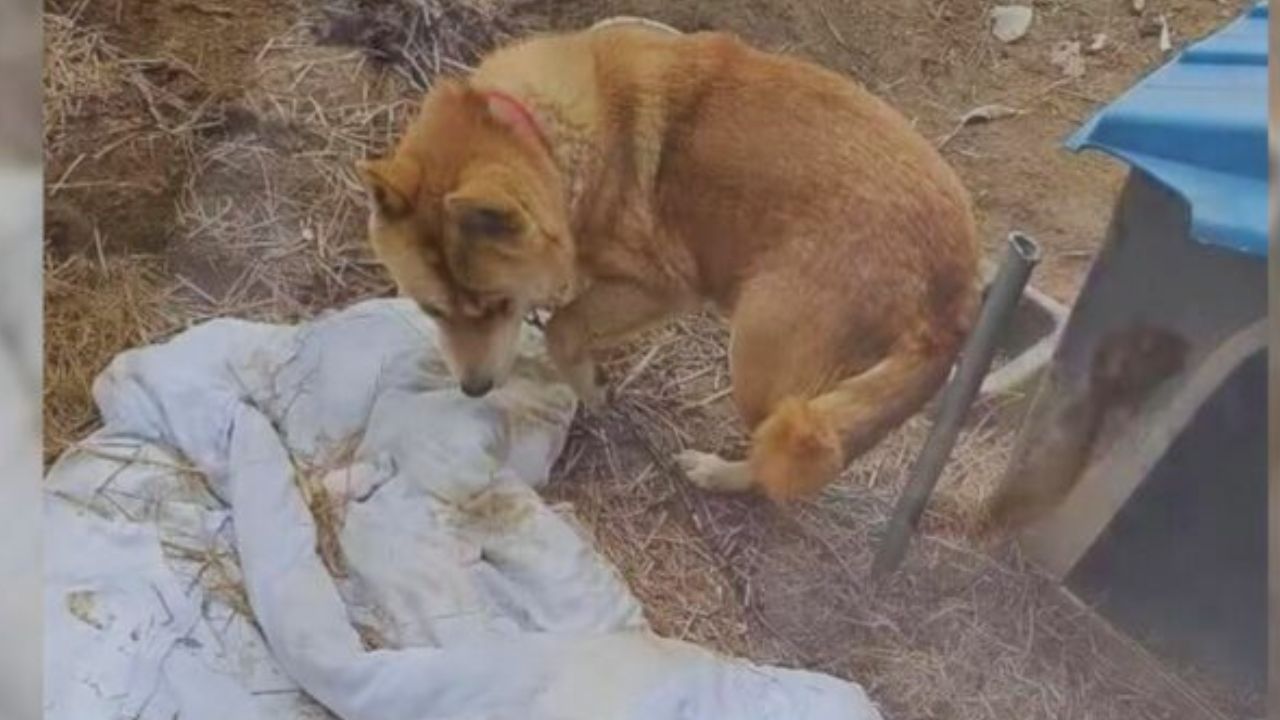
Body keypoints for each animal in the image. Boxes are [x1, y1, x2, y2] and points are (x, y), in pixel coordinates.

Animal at [360, 26, 977, 499]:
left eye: (498, 304)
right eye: (431, 310)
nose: (474, 390)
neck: (545, 140)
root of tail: (956, 297)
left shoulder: (663, 285)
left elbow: (564, 326)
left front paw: (590, 385)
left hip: (757, 354)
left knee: (776, 453)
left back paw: (718, 474)